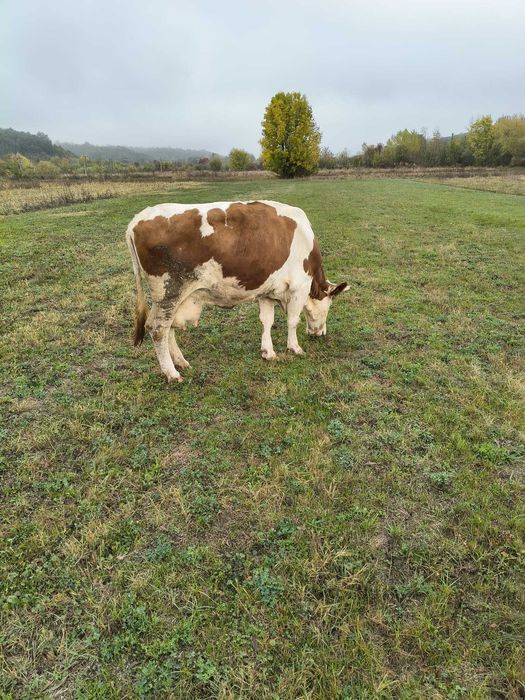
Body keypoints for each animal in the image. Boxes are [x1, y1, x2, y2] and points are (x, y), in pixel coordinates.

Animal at [126, 200, 348, 382]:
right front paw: (295, 348)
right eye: (329, 305)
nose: (320, 333)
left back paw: (180, 362)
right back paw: (172, 373)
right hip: (168, 291)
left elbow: (267, 321)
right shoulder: (298, 287)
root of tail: (138, 218)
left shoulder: (267, 291)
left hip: (174, 296)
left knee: (167, 327)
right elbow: (293, 321)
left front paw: (268, 352)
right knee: (158, 328)